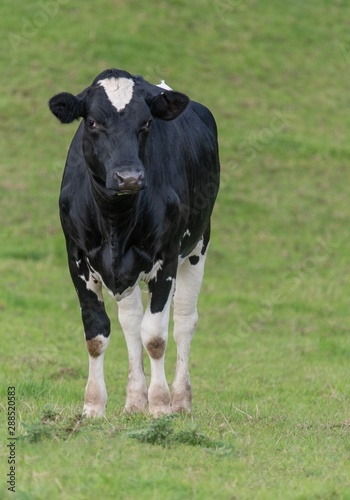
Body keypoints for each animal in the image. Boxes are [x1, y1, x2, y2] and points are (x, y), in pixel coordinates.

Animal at [48, 67, 220, 418]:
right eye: (92, 122)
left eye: (146, 123)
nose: (128, 177)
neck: (116, 221)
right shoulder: (77, 258)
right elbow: (97, 333)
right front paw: (93, 405)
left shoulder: (166, 258)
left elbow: (154, 337)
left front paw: (160, 405)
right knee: (130, 322)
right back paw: (134, 399)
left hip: (198, 245)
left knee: (184, 321)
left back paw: (180, 399)